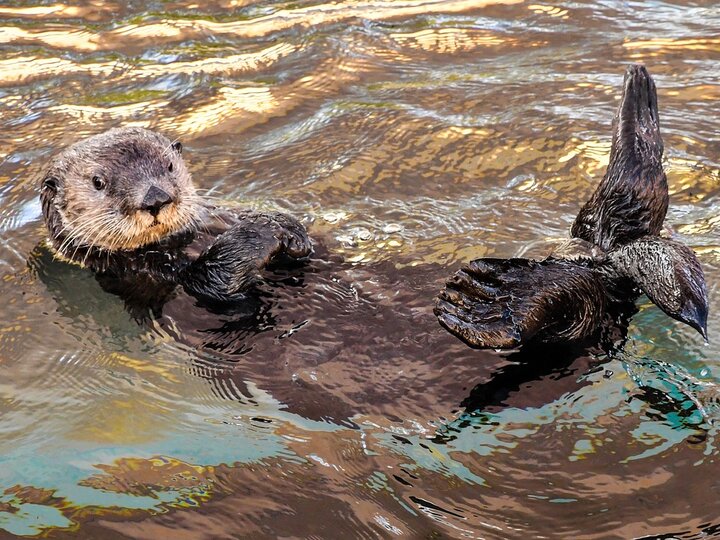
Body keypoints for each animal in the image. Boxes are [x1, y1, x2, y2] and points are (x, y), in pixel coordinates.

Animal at [39, 126, 310, 310]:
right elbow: (213, 279)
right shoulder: (147, 273)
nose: (155, 198)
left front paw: (288, 228)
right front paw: (260, 231)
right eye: (98, 182)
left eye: (169, 166)